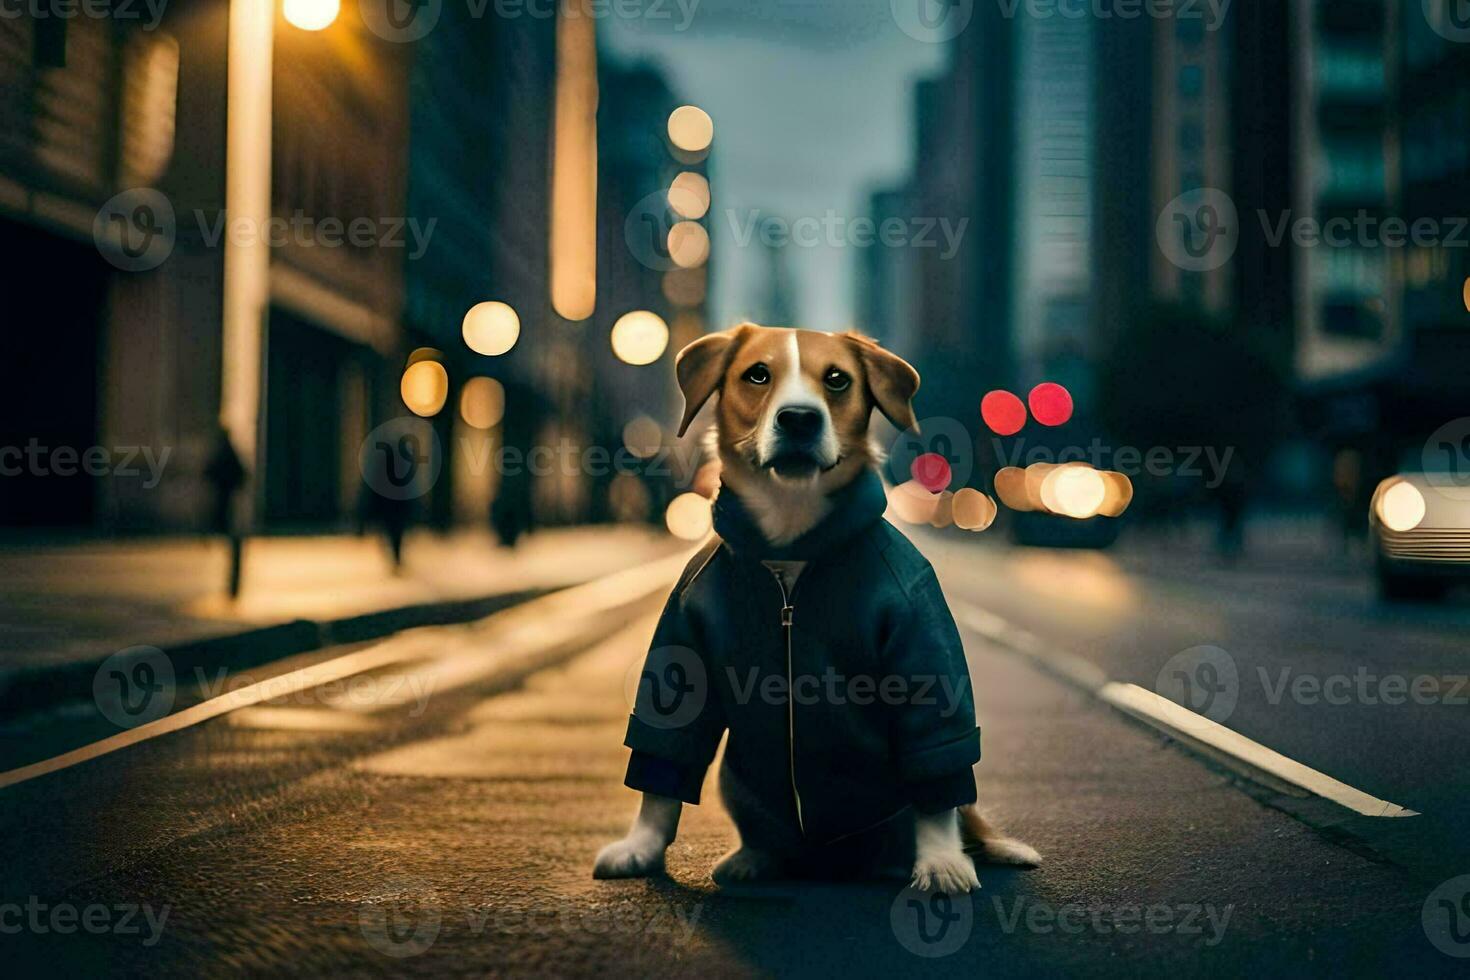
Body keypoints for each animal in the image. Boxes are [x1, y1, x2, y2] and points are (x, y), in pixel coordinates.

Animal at [590, 323, 1040, 887]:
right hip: (736, 783)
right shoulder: (680, 641)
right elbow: (665, 757)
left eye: (837, 380)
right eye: (757, 374)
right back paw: (753, 858)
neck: (792, 541)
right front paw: (642, 846)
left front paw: (941, 862)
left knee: (948, 806)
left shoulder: (921, 645)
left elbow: (935, 752)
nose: (799, 418)